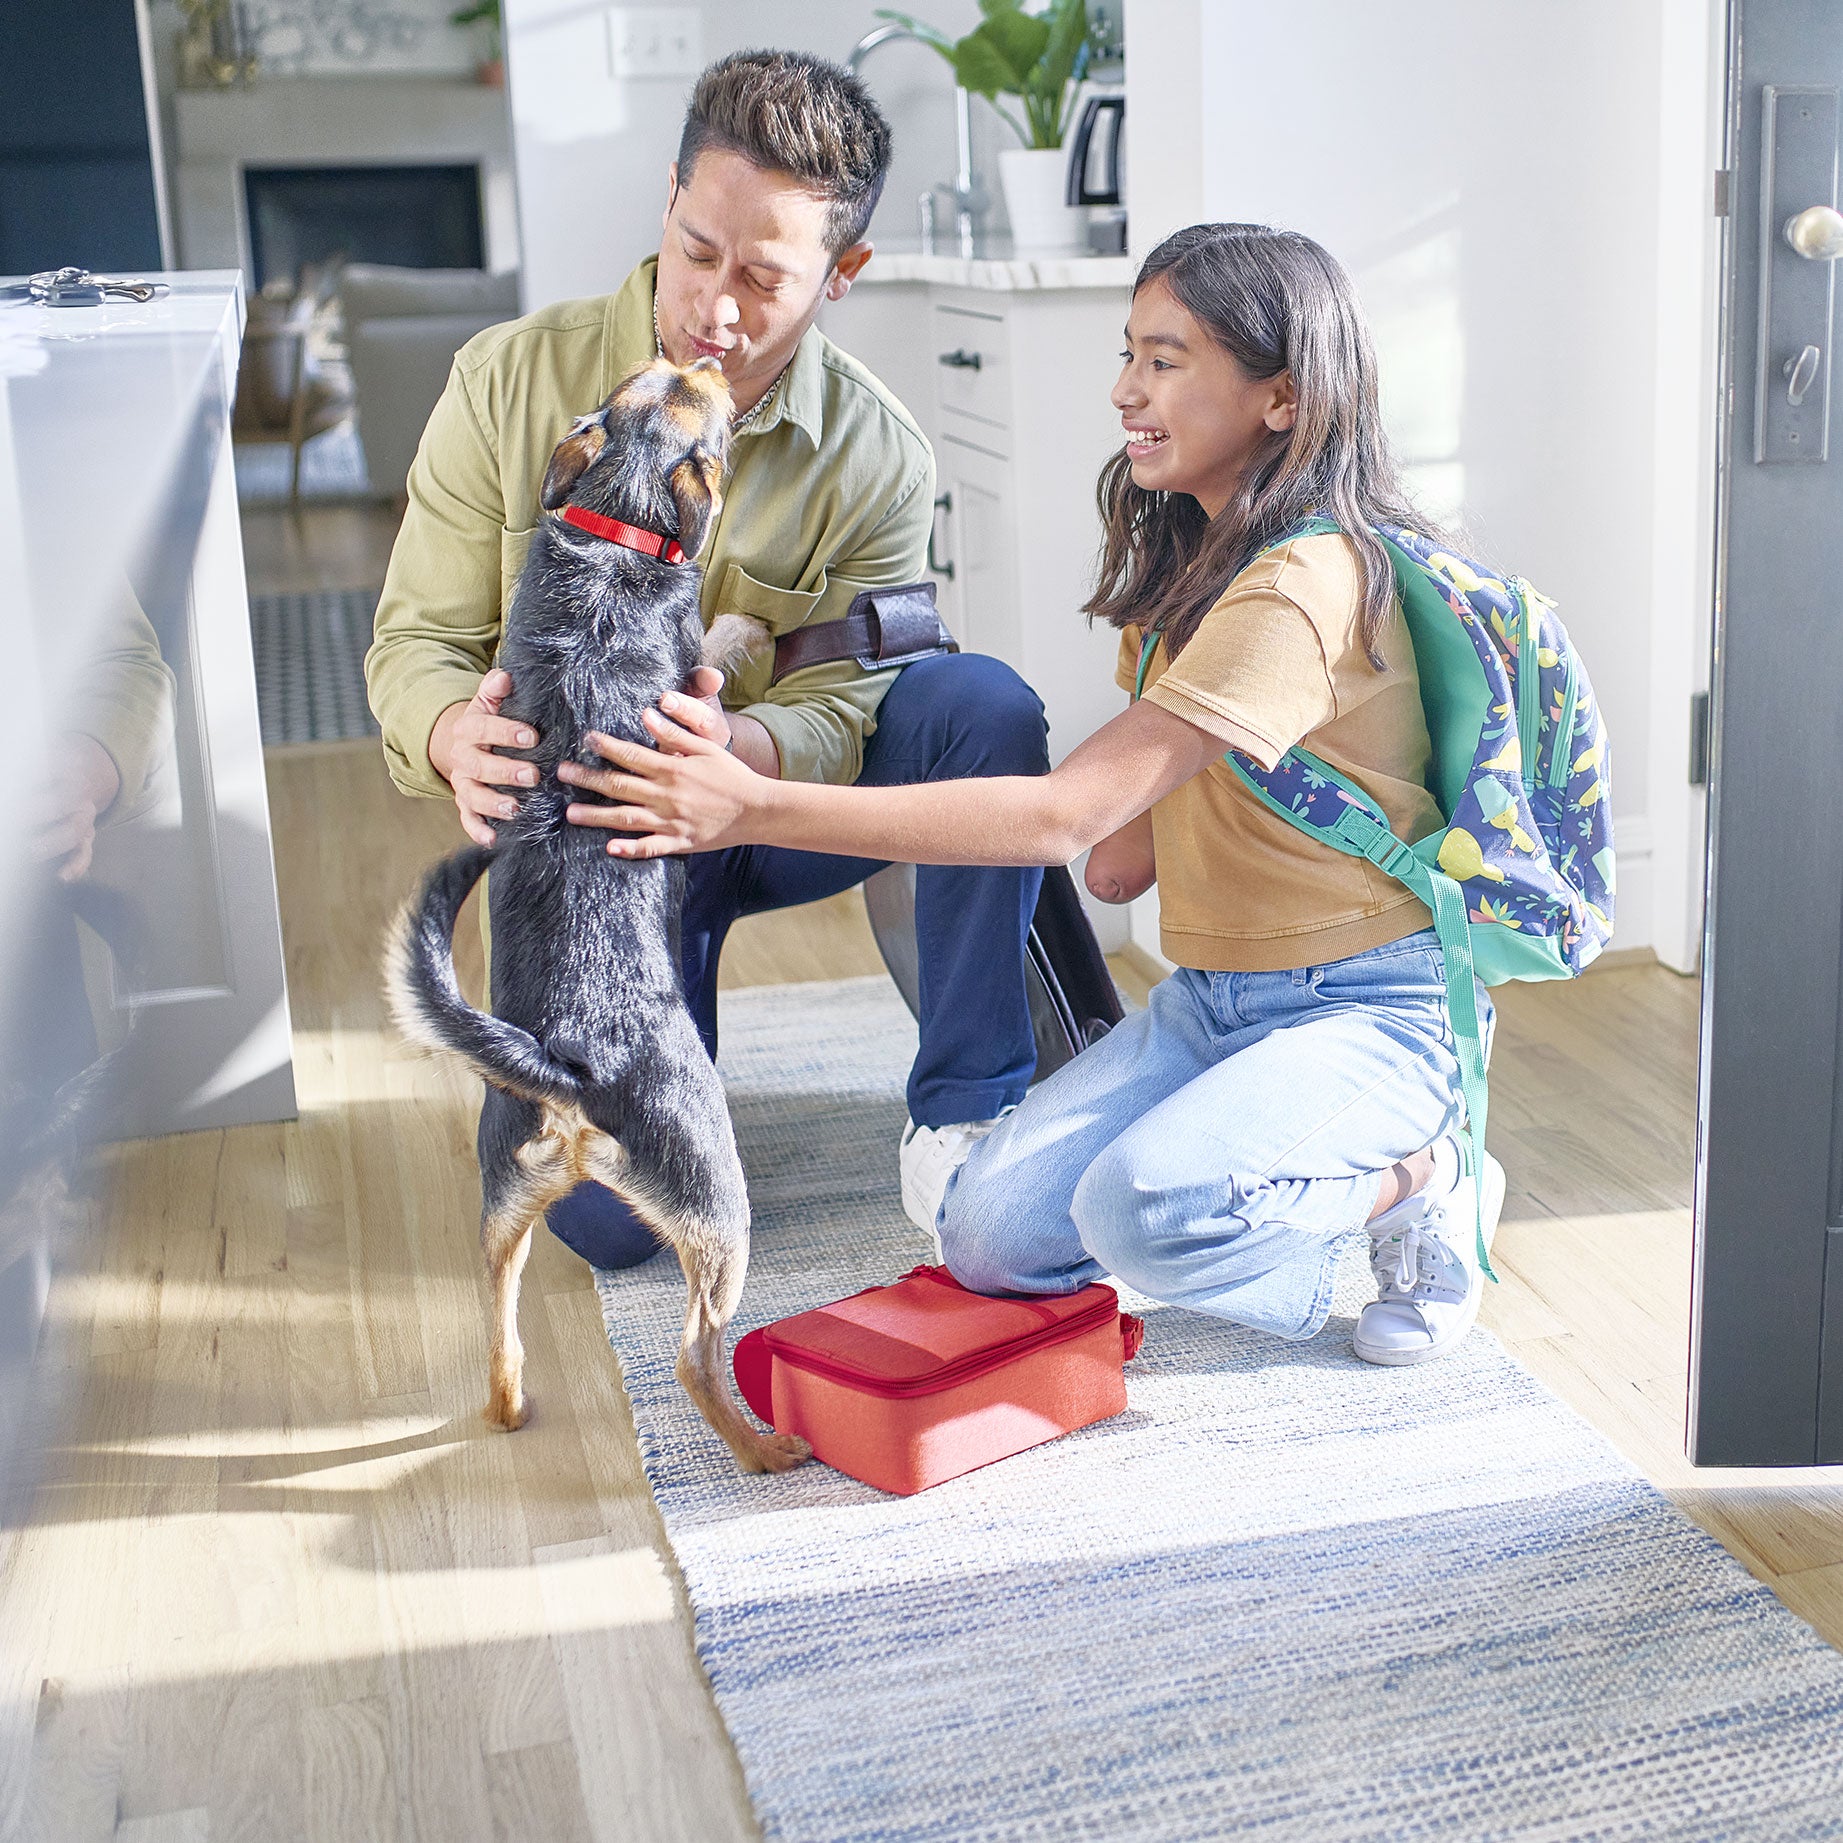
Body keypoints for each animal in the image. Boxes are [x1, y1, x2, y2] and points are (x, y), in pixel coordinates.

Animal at [385, 359, 803, 1474]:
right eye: (696, 393)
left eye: (653, 377)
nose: (709, 359)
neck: (616, 523)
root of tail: (570, 1067)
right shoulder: (698, 669)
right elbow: (724, 641)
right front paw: (753, 625)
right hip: (715, 1196)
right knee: (698, 1355)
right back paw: (767, 1452)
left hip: (501, 1199)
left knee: (498, 1329)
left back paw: (510, 1406)